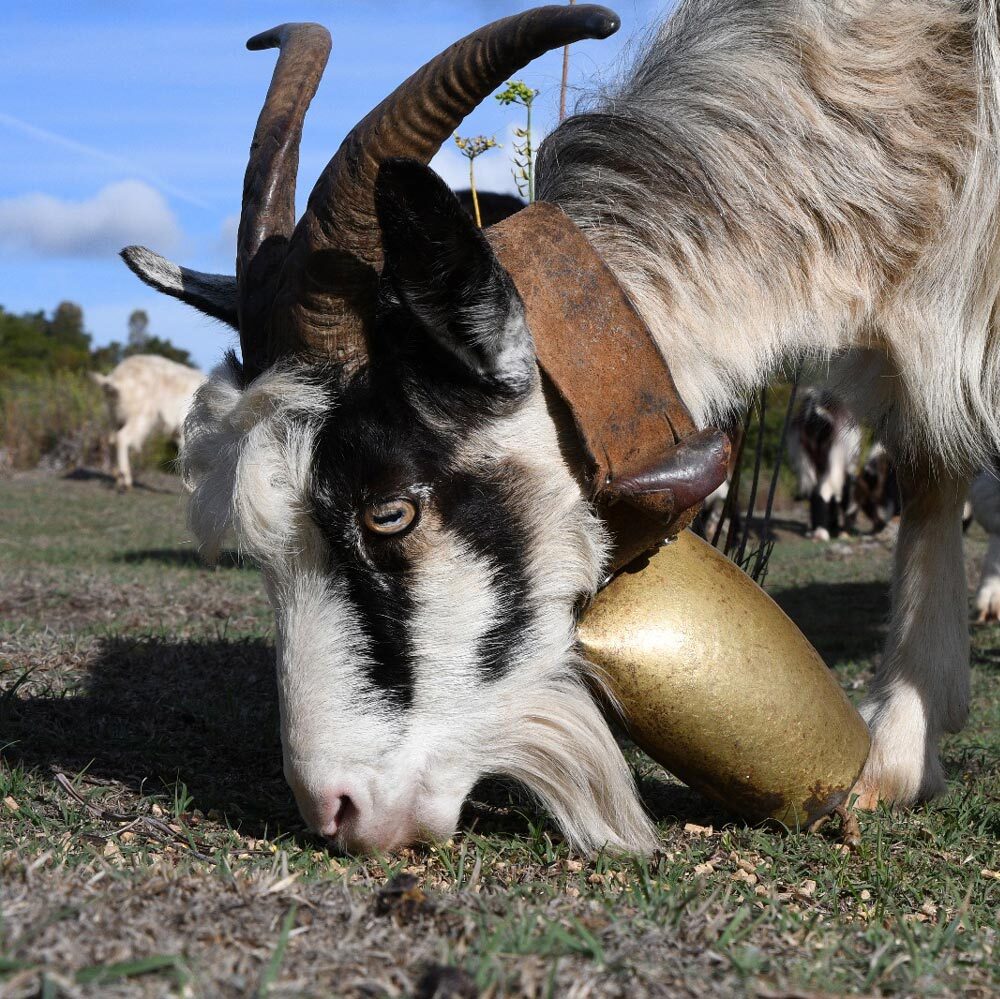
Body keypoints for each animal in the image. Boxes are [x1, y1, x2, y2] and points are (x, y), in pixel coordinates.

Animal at [91, 355, 205, 491]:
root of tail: (114, 381)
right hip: (141, 417)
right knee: (122, 438)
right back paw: (126, 480)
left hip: (115, 417)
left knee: (112, 439)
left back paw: (118, 477)